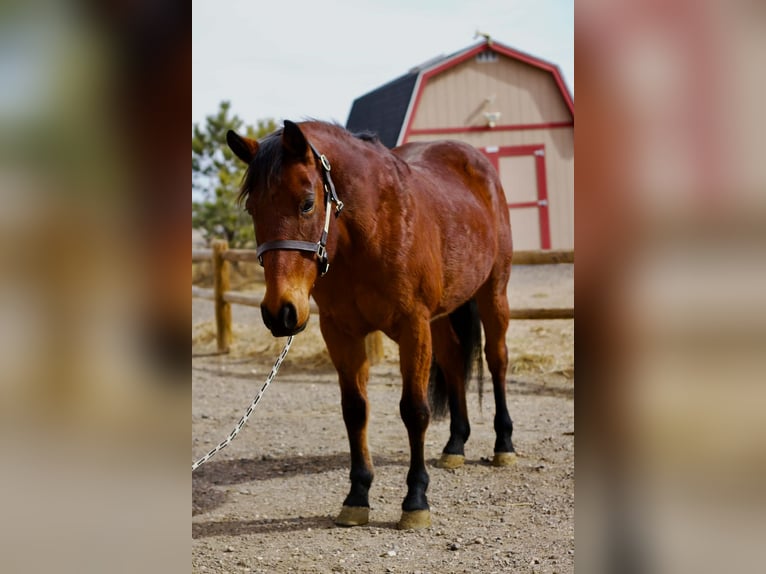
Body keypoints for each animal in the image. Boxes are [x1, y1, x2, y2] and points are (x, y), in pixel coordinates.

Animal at [226, 120, 515, 530]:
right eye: (253, 208)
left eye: (307, 202)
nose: (279, 312)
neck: (372, 229)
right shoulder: (341, 332)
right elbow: (355, 410)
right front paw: (357, 495)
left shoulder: (413, 327)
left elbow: (414, 410)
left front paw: (415, 500)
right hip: (442, 316)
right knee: (454, 363)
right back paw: (455, 445)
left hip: (494, 292)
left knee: (497, 359)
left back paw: (504, 444)